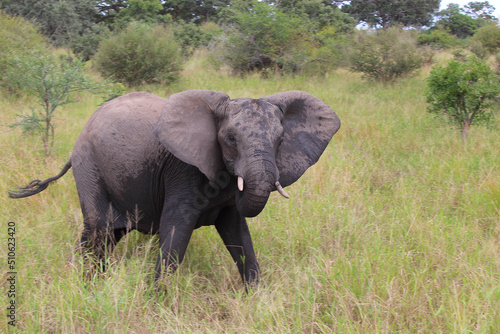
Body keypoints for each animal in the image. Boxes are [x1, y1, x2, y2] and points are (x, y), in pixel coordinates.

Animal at [9, 89, 342, 288]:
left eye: (280, 140)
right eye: (231, 139)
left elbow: (238, 234)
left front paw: (256, 297)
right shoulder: (182, 170)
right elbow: (175, 230)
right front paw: (157, 301)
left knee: (105, 235)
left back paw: (79, 279)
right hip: (88, 164)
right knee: (98, 229)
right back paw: (85, 283)